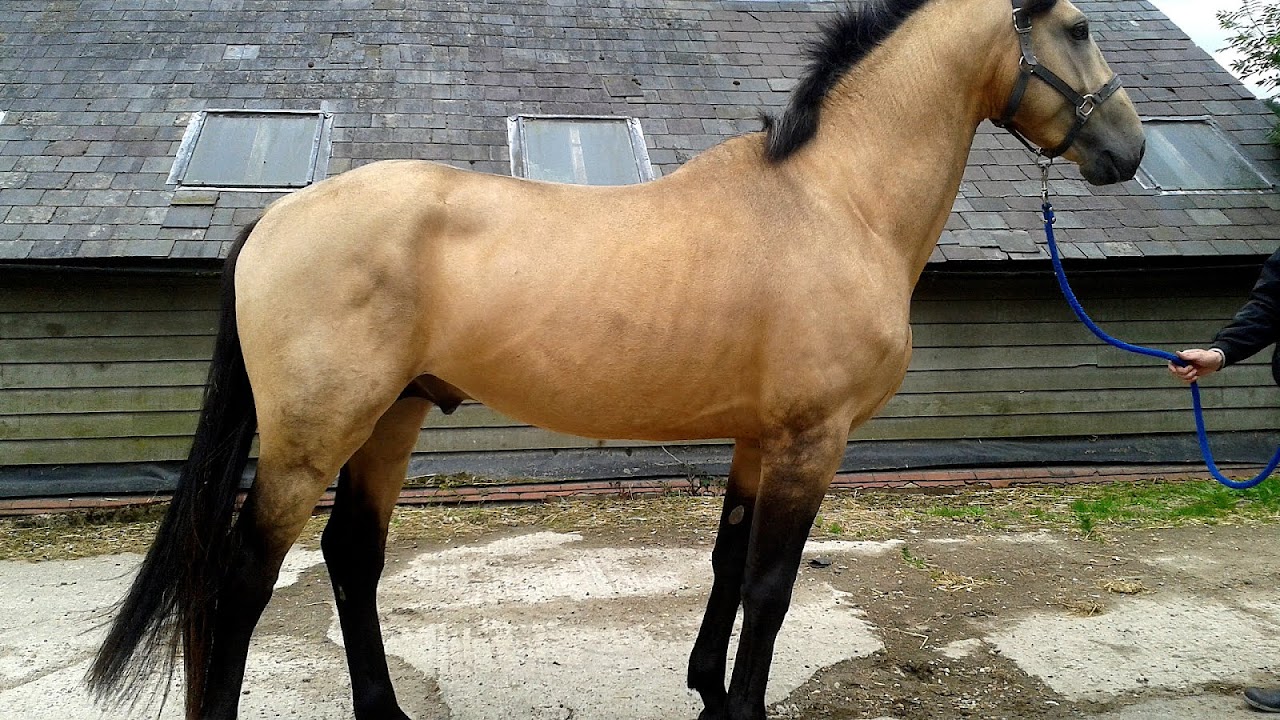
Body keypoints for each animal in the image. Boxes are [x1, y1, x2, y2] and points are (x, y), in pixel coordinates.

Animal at [86, 0, 1144, 717]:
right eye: (1080, 24)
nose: (1129, 150)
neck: (832, 203)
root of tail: (277, 215)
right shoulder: (813, 441)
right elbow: (771, 587)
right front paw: (743, 705)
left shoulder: (759, 440)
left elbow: (727, 563)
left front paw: (708, 692)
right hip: (312, 439)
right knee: (240, 582)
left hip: (392, 417)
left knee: (351, 557)